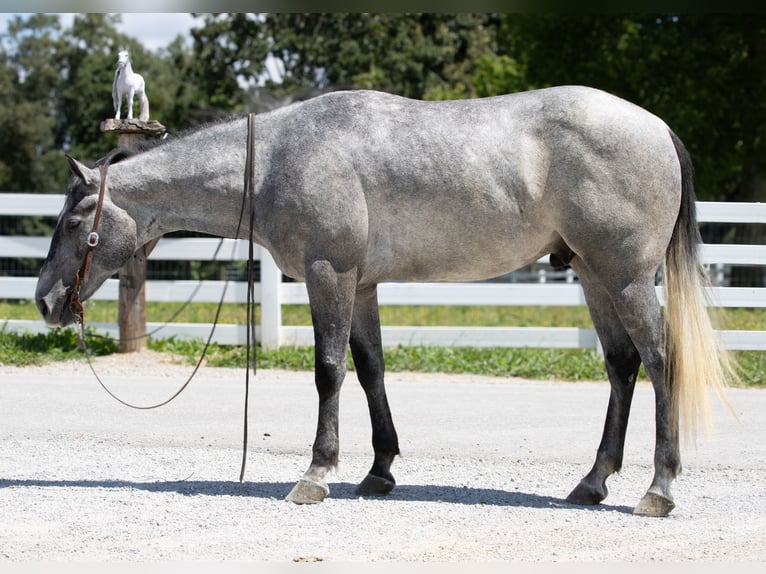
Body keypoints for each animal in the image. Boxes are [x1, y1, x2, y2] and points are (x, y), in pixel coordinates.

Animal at [35, 86, 736, 517]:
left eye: (72, 222)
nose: (45, 300)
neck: (280, 160)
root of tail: (655, 126)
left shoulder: (330, 273)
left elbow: (329, 371)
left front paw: (316, 474)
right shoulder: (362, 283)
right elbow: (370, 369)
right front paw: (378, 471)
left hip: (626, 277)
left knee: (661, 363)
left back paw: (658, 488)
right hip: (593, 276)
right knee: (621, 366)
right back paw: (592, 482)